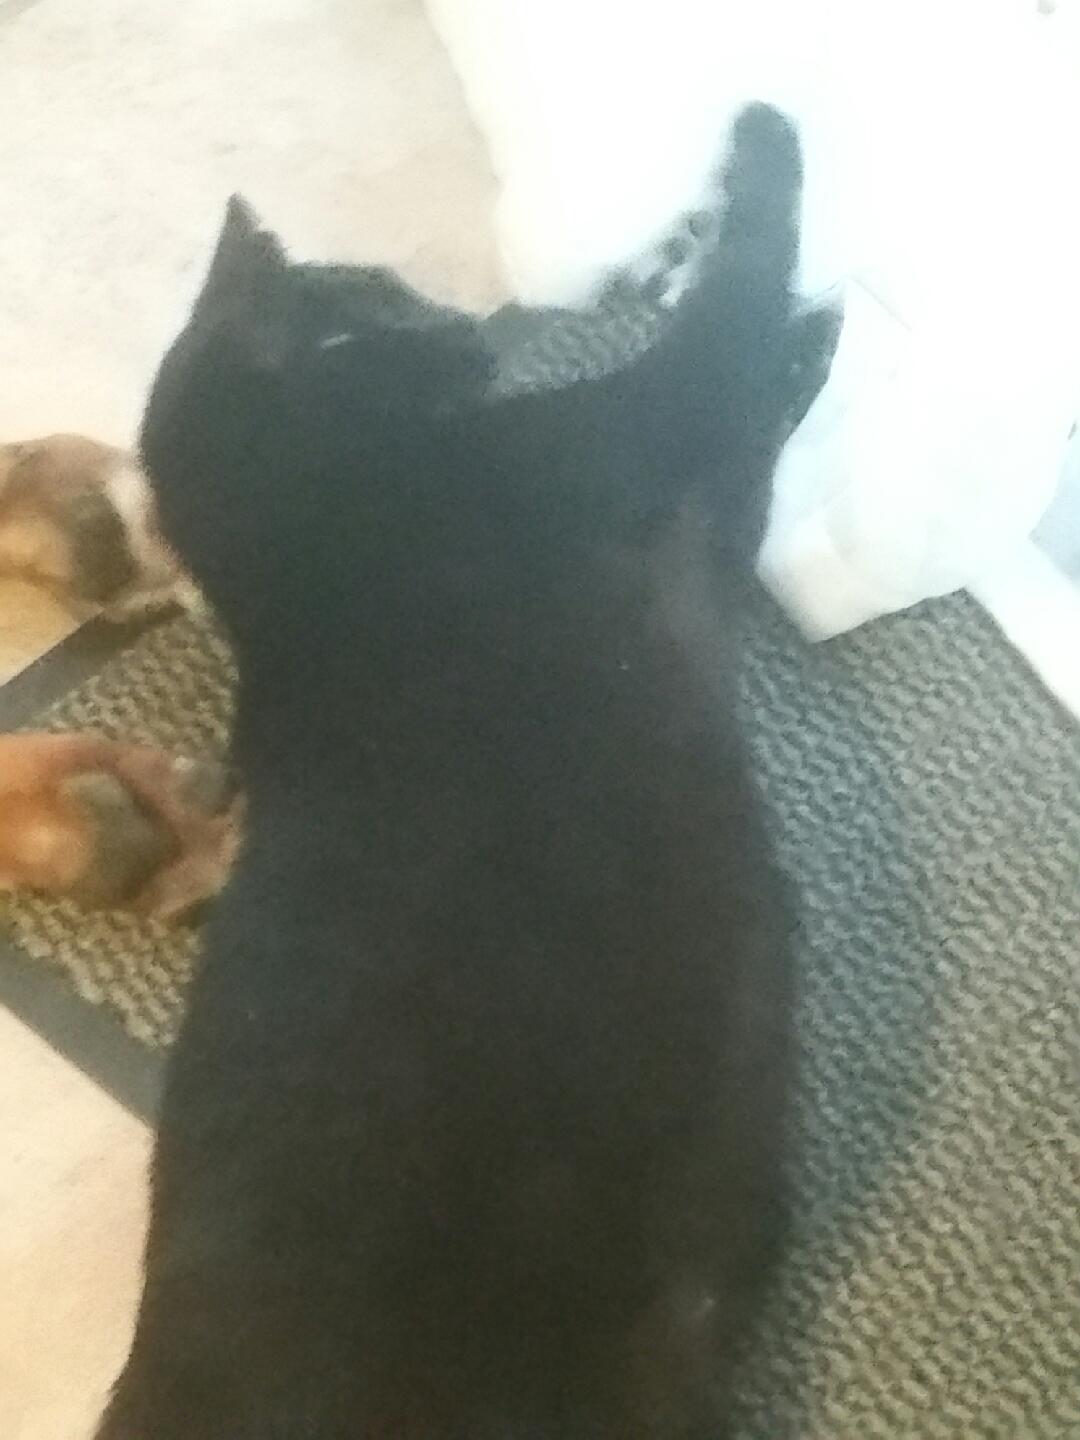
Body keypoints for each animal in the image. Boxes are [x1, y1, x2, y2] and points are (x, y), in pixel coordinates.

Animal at [96, 104, 831, 1439]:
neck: (295, 539)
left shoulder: (708, 524)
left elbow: (757, 410)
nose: (464, 325)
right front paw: (762, 147)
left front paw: (808, 327)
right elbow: (732, 308)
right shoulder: (640, 430)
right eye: (372, 304)